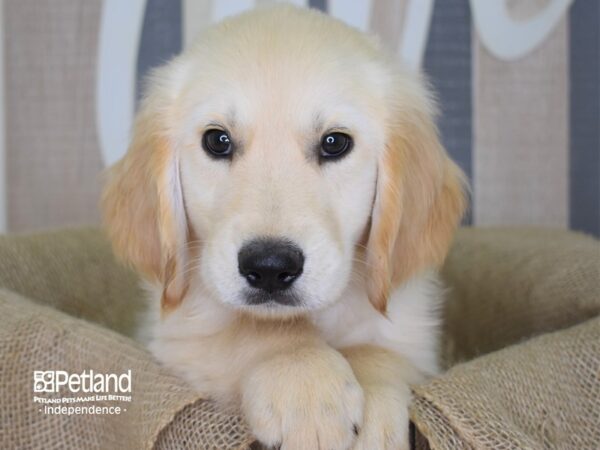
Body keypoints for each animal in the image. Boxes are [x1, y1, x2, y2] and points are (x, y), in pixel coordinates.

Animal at [104, 4, 464, 450]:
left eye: (334, 143)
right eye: (218, 141)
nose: (271, 267)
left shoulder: (415, 336)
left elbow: (378, 348)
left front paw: (374, 405)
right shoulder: (175, 333)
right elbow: (251, 328)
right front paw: (304, 384)